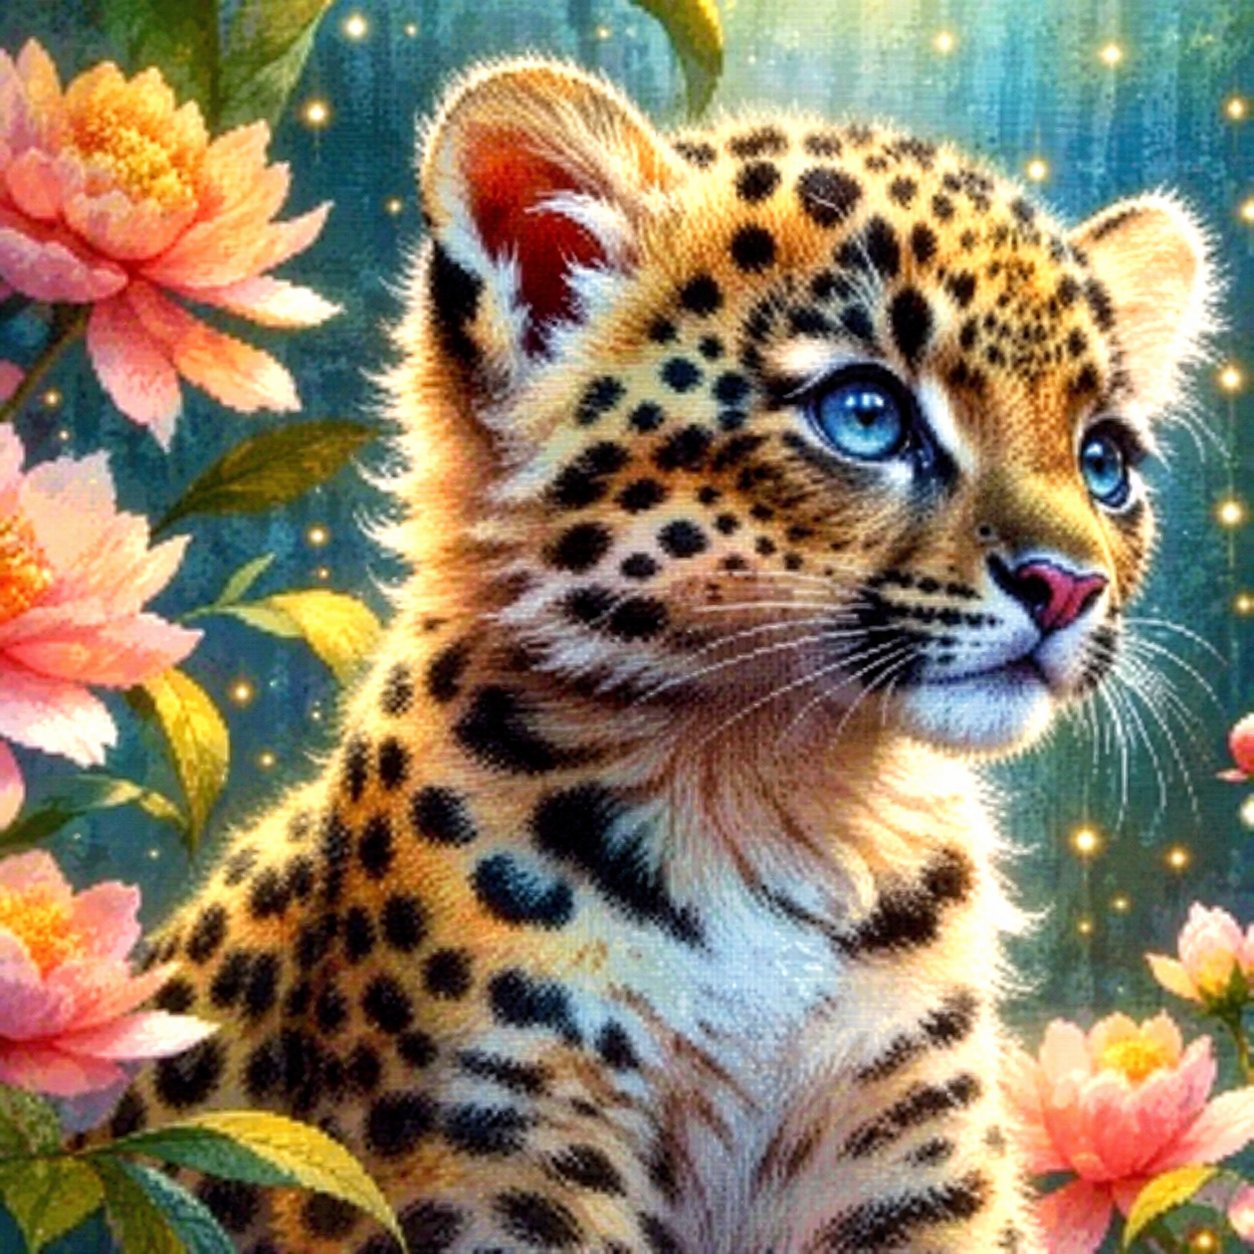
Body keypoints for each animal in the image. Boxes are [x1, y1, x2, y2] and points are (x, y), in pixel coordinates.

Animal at [101, 58, 1215, 1253]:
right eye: (866, 413)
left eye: (1104, 462)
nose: (1068, 584)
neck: (781, 802)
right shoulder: (495, 1148)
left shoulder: (919, 1163)